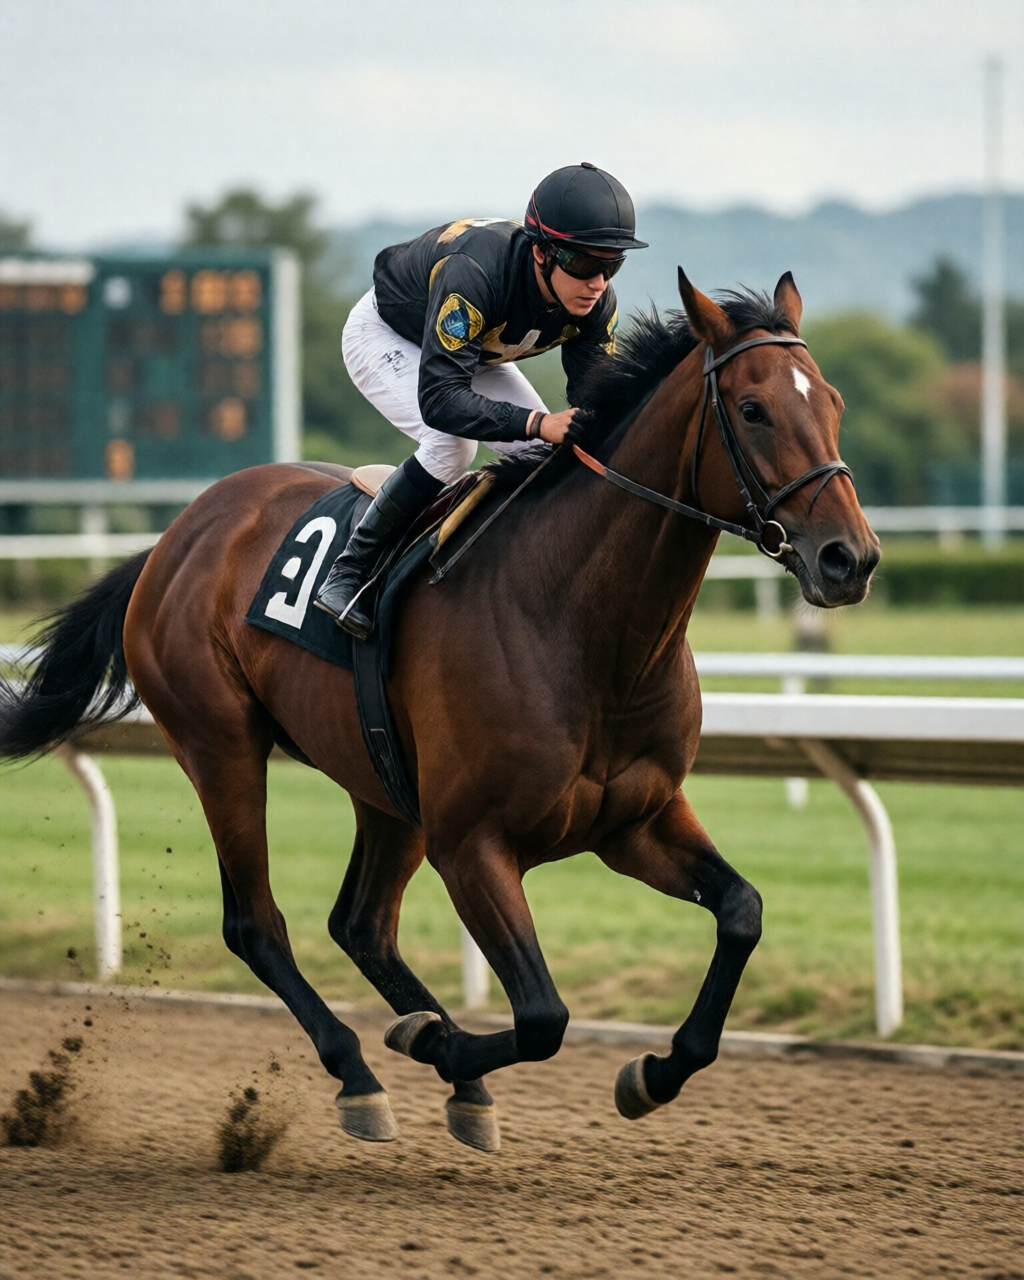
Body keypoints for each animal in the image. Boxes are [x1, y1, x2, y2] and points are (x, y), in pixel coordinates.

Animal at [0, 270, 879, 1153]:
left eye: (835, 401)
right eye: (753, 409)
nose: (852, 558)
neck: (586, 629)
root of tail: (174, 538)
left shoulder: (636, 821)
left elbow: (741, 912)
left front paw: (650, 1073)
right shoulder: (473, 843)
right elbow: (543, 1015)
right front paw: (436, 1041)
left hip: (384, 785)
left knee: (360, 924)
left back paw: (450, 1072)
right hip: (221, 746)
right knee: (256, 923)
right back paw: (362, 1071)